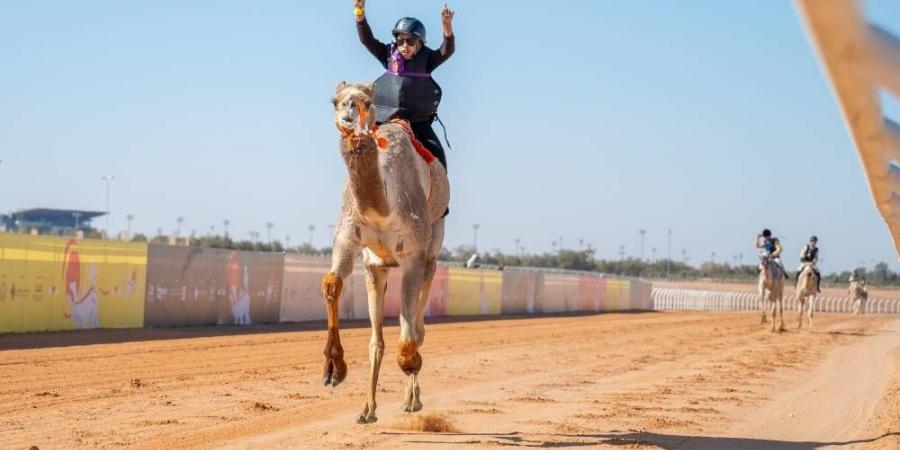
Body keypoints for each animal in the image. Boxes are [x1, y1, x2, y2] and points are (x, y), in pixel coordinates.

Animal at [322, 81, 450, 426]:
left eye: (367, 101)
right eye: (335, 101)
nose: (348, 118)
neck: (382, 208)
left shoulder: (413, 253)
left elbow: (409, 333)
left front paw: (409, 363)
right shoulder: (353, 244)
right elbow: (332, 284)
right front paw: (334, 371)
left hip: (432, 249)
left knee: (418, 325)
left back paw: (412, 399)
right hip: (378, 268)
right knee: (382, 336)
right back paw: (371, 408)